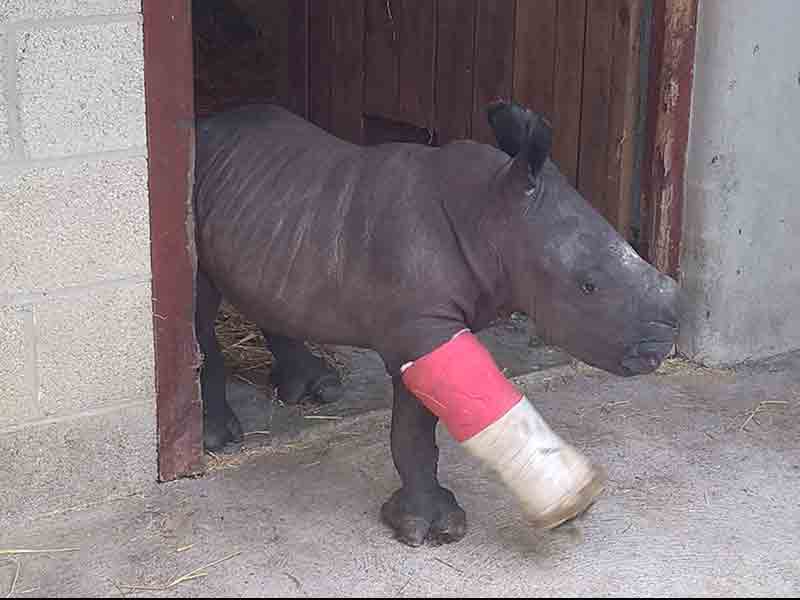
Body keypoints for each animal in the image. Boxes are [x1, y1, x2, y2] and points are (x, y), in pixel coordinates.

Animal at [191, 101, 680, 548]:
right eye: (589, 286)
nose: (664, 342)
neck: (491, 214)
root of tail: (208, 123)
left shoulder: (428, 326)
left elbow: (420, 421)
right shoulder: (419, 326)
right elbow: (414, 431)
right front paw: (425, 532)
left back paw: (319, 390)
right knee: (198, 300)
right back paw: (217, 437)